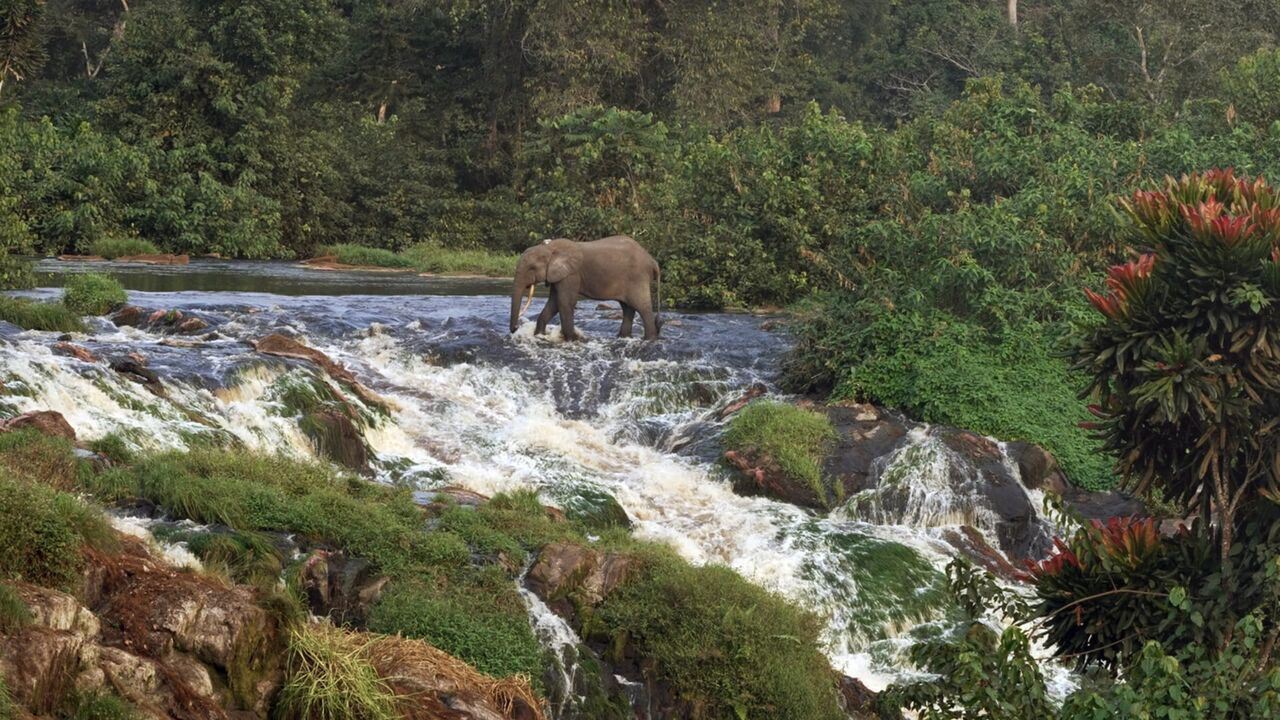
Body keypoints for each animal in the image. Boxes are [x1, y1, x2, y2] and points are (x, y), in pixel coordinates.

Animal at [512, 233, 665, 338]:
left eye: (531, 268)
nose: (515, 328)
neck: (550, 248)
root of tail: (652, 260)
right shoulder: (559, 275)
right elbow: (554, 303)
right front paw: (539, 335)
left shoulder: (571, 274)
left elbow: (564, 302)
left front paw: (572, 339)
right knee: (628, 307)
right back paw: (623, 337)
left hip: (637, 278)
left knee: (642, 306)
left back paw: (649, 339)